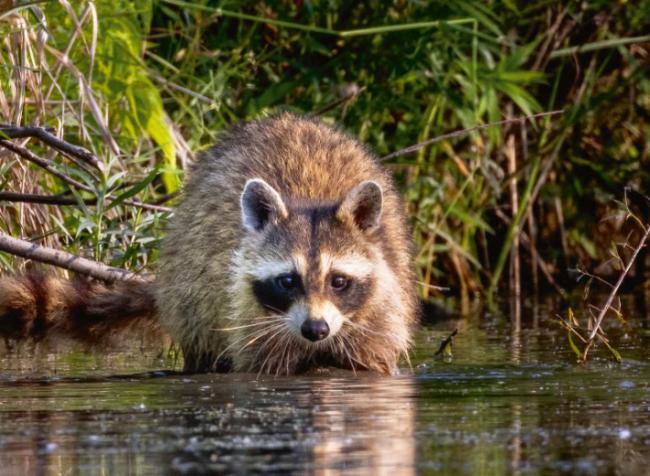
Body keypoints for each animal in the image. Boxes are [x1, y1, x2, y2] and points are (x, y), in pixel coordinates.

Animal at [0, 113, 416, 374]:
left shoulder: (380, 309)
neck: (311, 199)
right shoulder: (247, 314)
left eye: (338, 280)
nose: (316, 330)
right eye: (288, 280)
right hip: (192, 296)